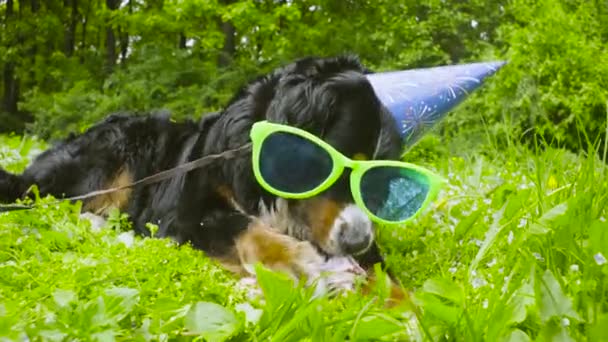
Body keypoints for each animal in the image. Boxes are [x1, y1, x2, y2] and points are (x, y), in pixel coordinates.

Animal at [1, 55, 408, 300]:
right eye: (335, 163)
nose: (357, 241)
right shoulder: (180, 213)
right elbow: (241, 226)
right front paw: (293, 261)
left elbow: (386, 274)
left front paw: (404, 309)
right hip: (119, 146)